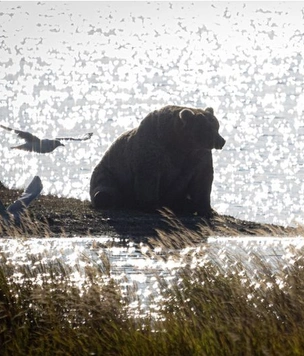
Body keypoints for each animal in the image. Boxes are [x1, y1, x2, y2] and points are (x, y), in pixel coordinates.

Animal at [89, 104, 224, 218]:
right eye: (208, 129)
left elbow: (202, 180)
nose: (222, 141)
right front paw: (153, 206)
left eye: (217, 126)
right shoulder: (153, 151)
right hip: (110, 173)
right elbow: (149, 178)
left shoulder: (198, 157)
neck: (180, 143)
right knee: (105, 191)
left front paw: (208, 210)